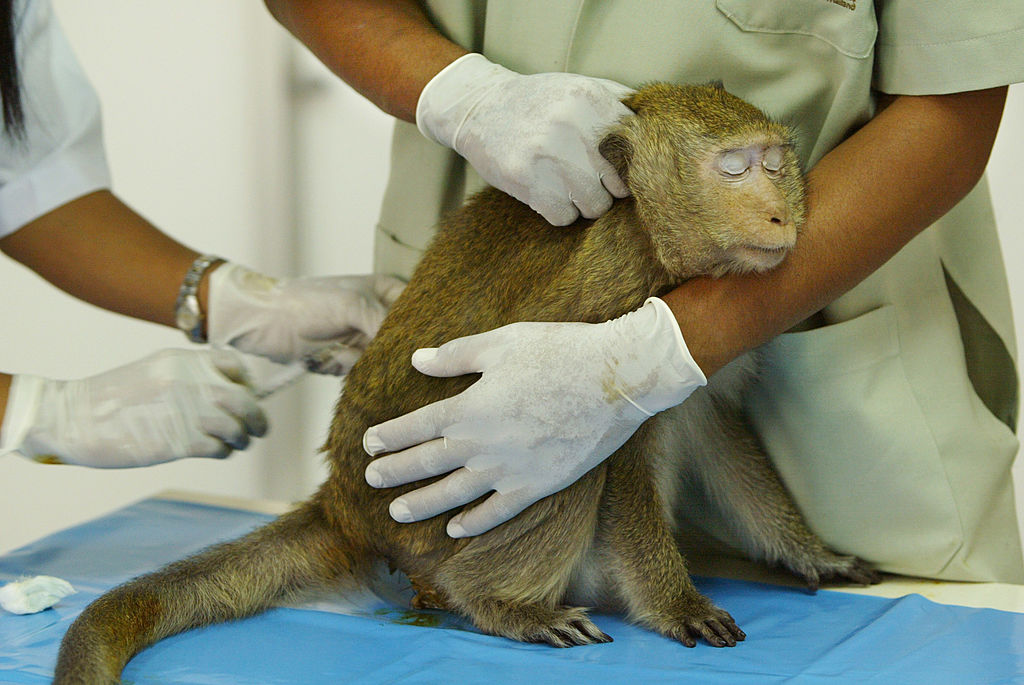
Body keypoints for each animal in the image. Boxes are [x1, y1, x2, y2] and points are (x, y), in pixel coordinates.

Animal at [51, 82, 876, 679]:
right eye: (733, 167)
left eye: (776, 162)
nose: (780, 216)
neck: (656, 241)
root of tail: (344, 503)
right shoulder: (614, 293)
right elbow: (614, 451)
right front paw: (675, 602)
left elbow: (712, 429)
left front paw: (811, 553)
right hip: (433, 518)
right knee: (554, 454)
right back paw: (498, 602)